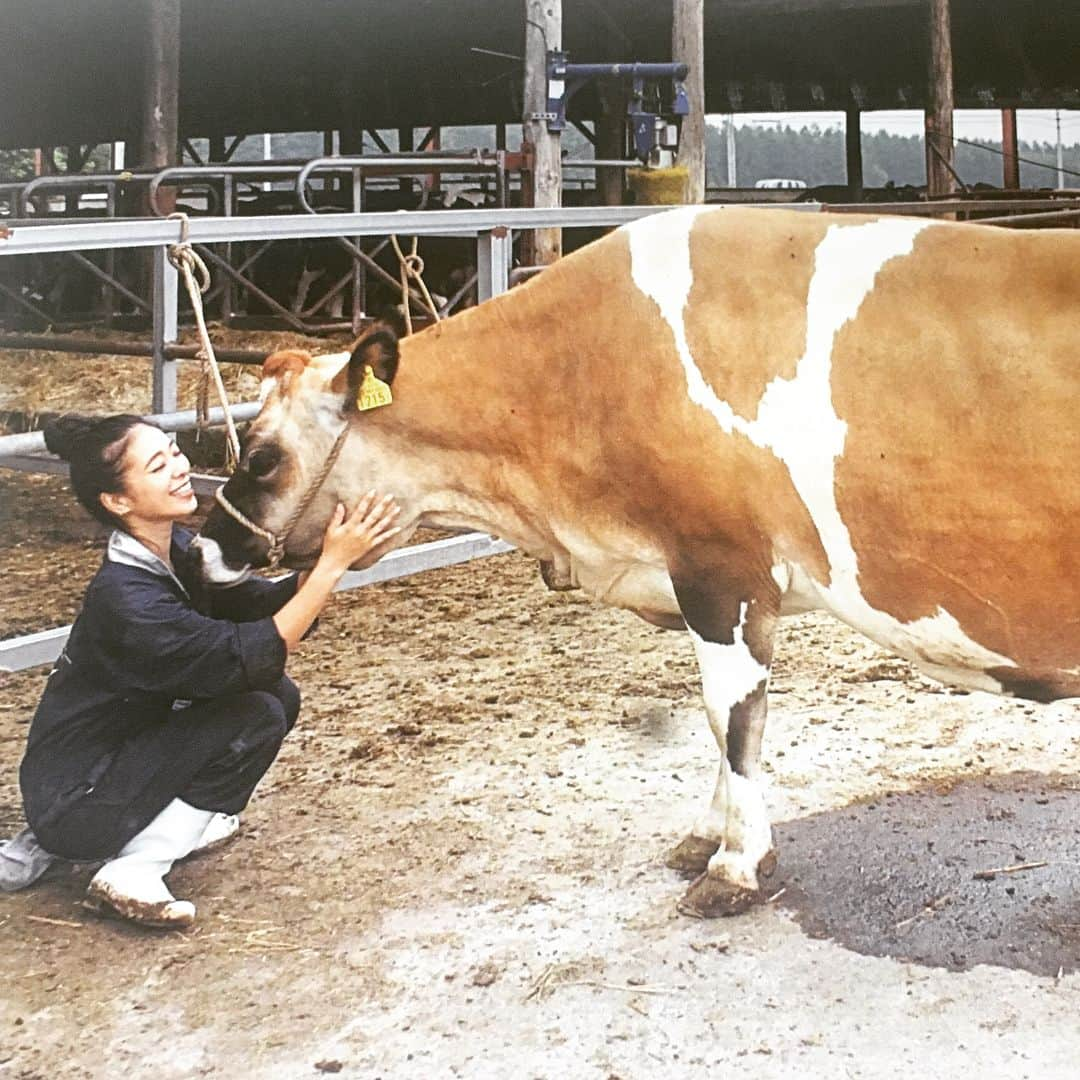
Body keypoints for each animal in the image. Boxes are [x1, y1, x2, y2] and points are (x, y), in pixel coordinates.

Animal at [194, 206, 1080, 915]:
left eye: (263, 457)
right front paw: (707, 839)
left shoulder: (722, 570)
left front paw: (733, 868)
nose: (203, 547)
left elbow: (734, 718)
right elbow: (723, 719)